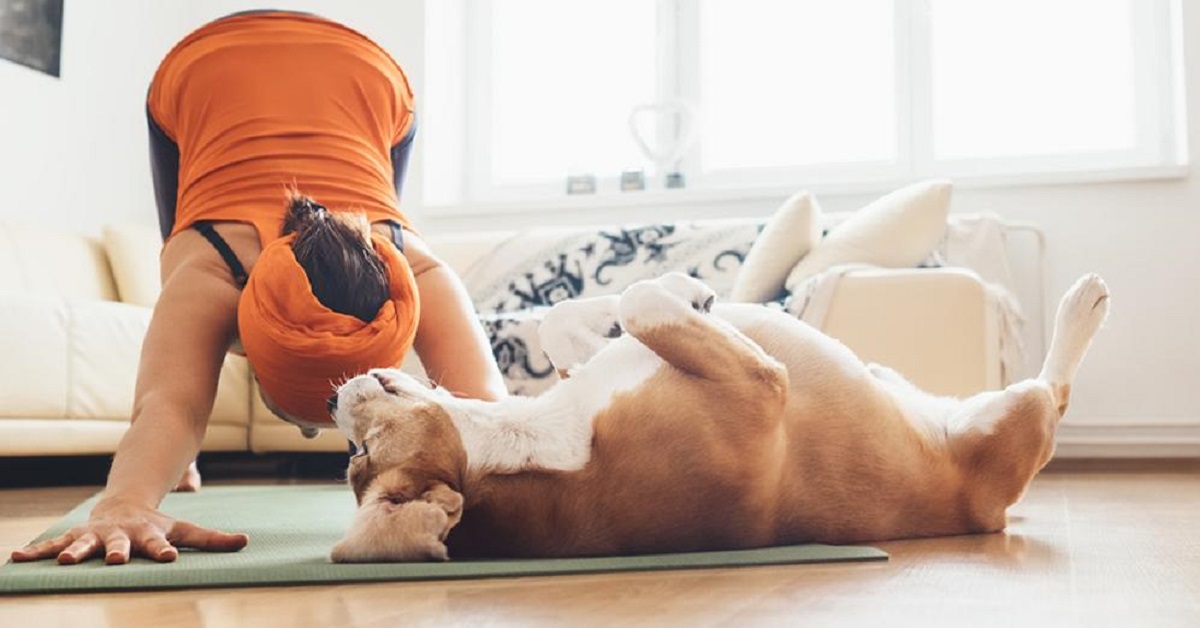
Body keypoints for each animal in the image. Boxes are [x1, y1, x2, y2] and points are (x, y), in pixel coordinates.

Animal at [326, 270, 1104, 559]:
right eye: (359, 458)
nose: (333, 399)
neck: (536, 443)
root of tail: (991, 516)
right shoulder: (761, 387)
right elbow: (641, 300)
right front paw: (682, 285)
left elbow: (566, 321)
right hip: (1017, 417)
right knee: (1055, 393)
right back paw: (1081, 307)